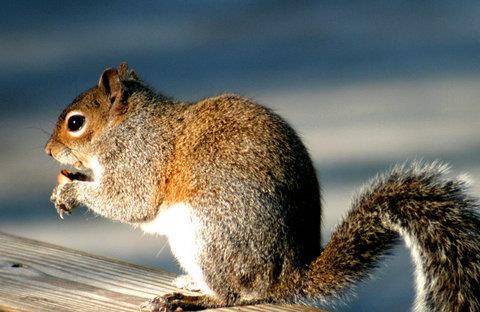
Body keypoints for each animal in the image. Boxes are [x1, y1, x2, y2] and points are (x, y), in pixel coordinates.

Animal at [46, 63, 480, 312]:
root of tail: (284, 278)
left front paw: (72, 192)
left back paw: (190, 298)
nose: (49, 151)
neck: (130, 125)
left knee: (232, 295)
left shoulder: (141, 159)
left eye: (75, 123)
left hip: (208, 232)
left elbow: (130, 201)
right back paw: (189, 282)